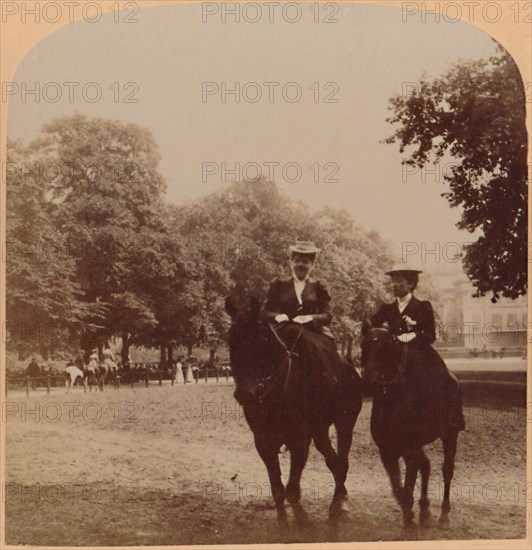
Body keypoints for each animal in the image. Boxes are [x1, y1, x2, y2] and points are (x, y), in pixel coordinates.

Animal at [222, 292, 364, 528]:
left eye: (260, 339)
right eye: (231, 339)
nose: (245, 394)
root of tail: (349, 368)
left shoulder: (299, 441)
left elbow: (292, 491)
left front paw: (304, 525)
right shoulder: (264, 442)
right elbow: (278, 489)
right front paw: (284, 527)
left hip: (344, 424)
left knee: (342, 462)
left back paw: (338, 506)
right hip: (319, 431)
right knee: (333, 461)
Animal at [362, 330, 466, 532]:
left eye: (386, 348)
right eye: (364, 345)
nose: (369, 383)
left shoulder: (408, 451)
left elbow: (408, 487)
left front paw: (409, 523)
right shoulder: (387, 452)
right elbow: (398, 488)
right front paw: (410, 516)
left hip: (450, 435)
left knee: (447, 470)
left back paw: (443, 515)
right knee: (426, 465)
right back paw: (424, 510)